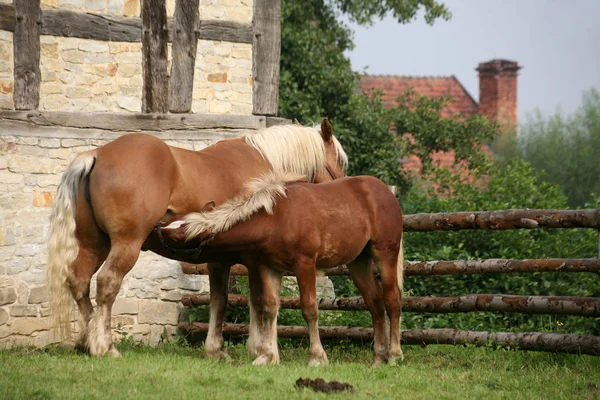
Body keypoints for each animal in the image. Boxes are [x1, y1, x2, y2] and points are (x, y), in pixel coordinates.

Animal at [47, 118, 346, 356]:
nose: (344, 186)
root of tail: (97, 154)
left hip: (94, 245)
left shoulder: (219, 258)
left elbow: (220, 300)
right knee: (107, 283)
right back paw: (104, 346)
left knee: (79, 282)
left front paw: (217, 349)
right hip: (125, 244)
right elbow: (255, 300)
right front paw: (256, 348)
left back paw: (87, 340)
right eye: (340, 161)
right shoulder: (251, 259)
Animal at [161, 172, 404, 366]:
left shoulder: (304, 265)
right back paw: (378, 359)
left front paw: (317, 358)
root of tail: (386, 192)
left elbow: (309, 309)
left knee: (392, 300)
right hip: (358, 262)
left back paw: (394, 356)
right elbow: (269, 307)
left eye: (181, 235)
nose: (158, 228)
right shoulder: (269, 268)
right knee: (375, 303)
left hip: (385, 254)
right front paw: (267, 356)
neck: (277, 220)